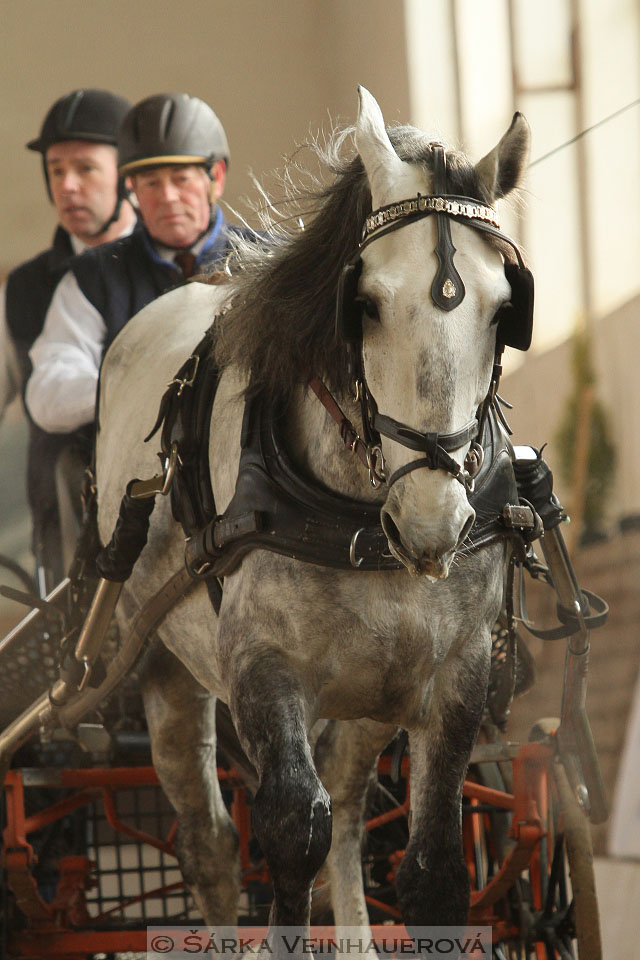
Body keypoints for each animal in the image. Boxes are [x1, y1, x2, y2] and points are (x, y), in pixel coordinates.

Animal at [96, 90, 528, 928]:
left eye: (504, 310)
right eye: (363, 304)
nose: (432, 525)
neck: (361, 511)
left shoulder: (456, 674)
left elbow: (431, 871)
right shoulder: (260, 663)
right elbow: (294, 830)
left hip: (371, 693)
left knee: (353, 811)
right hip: (161, 665)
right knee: (213, 845)